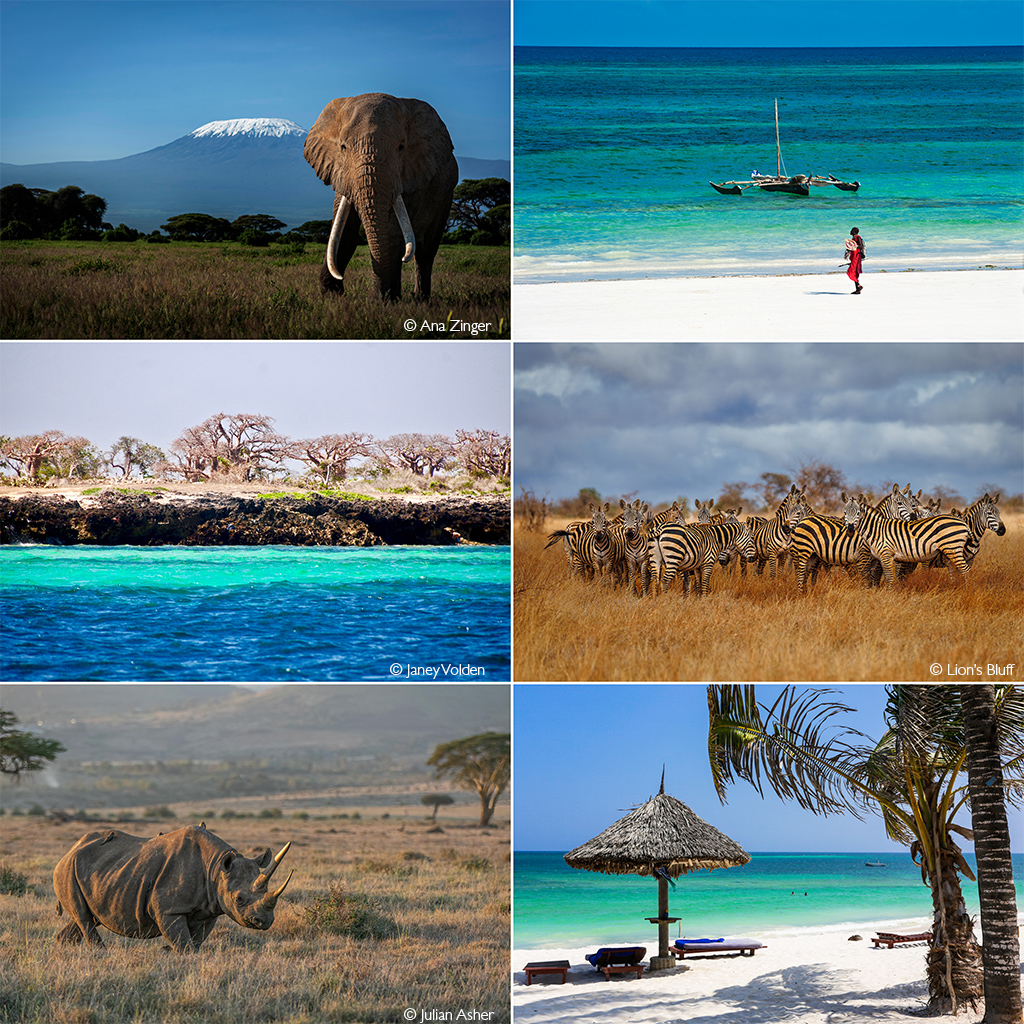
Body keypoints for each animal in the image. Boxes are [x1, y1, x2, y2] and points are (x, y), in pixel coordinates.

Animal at [301, 92, 458, 301]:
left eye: (401, 147)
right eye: (343, 147)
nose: (336, 283)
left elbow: (393, 232)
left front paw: (380, 301)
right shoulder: (340, 172)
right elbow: (345, 230)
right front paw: (332, 296)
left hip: (446, 196)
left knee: (426, 250)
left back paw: (419, 299)